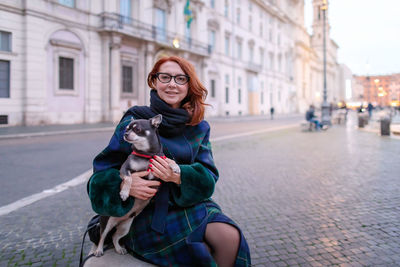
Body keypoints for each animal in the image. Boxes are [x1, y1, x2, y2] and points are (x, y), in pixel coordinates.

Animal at [94, 114, 164, 258]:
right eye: (126, 128)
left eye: (137, 129)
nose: (125, 134)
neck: (147, 155)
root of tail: (118, 220)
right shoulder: (124, 169)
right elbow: (129, 178)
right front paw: (125, 193)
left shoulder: (158, 172)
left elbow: (170, 163)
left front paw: (176, 168)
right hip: (106, 222)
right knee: (103, 236)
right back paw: (98, 250)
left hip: (125, 227)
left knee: (115, 236)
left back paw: (119, 248)